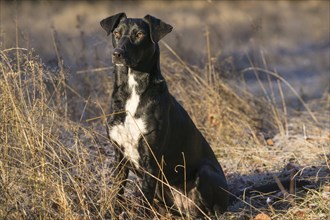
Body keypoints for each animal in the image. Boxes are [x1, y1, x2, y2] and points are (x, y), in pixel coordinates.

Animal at [100, 12, 228, 217]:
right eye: (117, 33)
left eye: (140, 35)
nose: (117, 53)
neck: (132, 90)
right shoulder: (119, 156)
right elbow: (116, 192)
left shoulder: (151, 159)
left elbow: (144, 198)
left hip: (206, 172)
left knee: (213, 209)